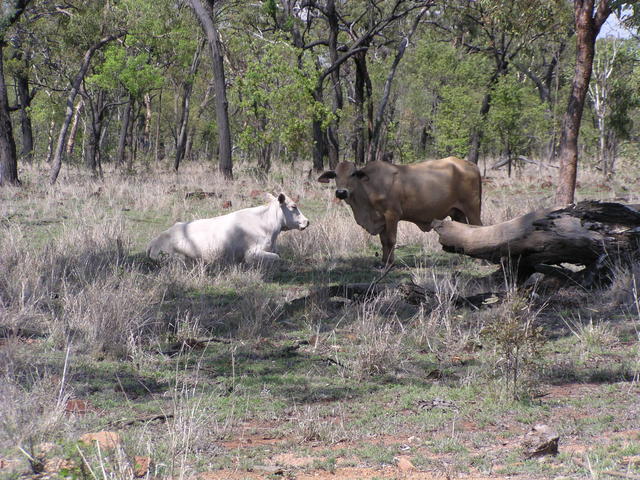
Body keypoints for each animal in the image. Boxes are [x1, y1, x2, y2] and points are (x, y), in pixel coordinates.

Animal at [146, 193, 309, 264]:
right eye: (293, 206)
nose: (307, 221)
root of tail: (155, 240)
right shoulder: (251, 253)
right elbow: (277, 257)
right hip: (177, 257)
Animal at [318, 157, 482, 265]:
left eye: (352, 174)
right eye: (335, 175)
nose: (341, 192)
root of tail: (470, 164)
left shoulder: (392, 214)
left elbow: (390, 240)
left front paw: (390, 264)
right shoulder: (381, 219)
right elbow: (383, 241)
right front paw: (384, 262)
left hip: (472, 209)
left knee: (478, 227)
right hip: (457, 212)